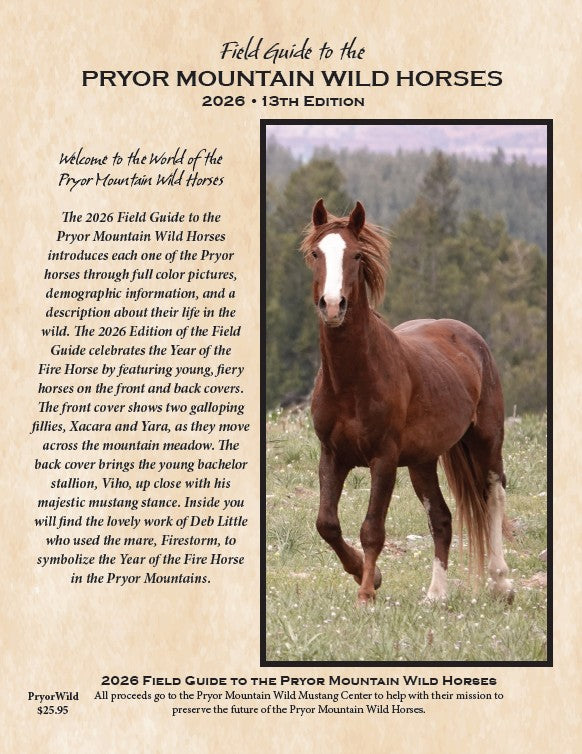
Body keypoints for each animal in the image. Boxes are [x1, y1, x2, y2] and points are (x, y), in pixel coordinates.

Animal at [302, 198, 514, 605]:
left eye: (356, 255)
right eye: (316, 253)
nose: (333, 305)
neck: (353, 381)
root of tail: (469, 336)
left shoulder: (383, 459)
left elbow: (372, 528)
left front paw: (366, 593)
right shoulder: (332, 456)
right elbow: (326, 524)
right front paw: (369, 575)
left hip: (486, 439)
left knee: (494, 495)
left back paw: (502, 583)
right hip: (422, 462)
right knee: (442, 519)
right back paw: (435, 594)